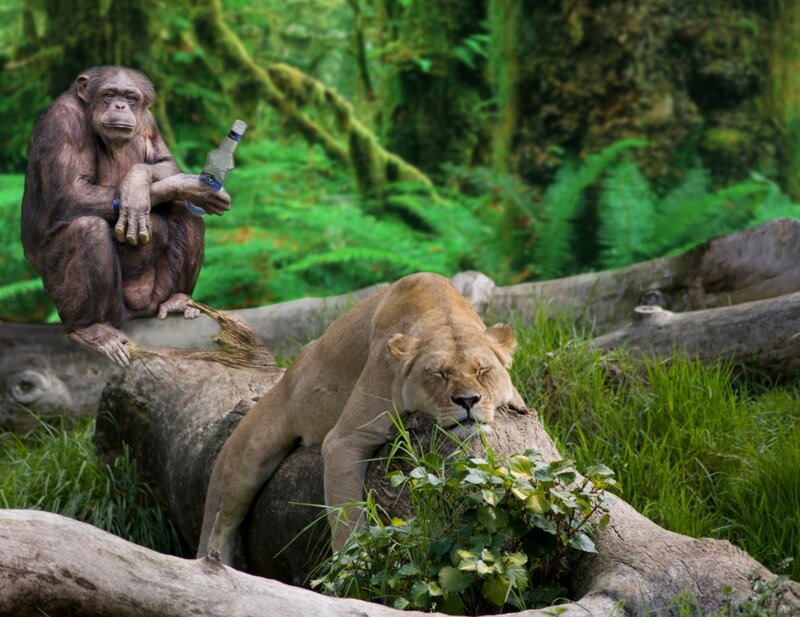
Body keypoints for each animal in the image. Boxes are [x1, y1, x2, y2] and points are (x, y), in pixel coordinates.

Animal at [21, 66, 232, 367]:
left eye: (130, 98)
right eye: (109, 94)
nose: (120, 106)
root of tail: (136, 312)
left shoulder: (149, 120)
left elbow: (165, 163)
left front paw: (140, 183)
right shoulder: (62, 122)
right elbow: (72, 192)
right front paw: (170, 188)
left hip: (154, 297)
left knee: (184, 210)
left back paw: (178, 299)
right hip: (91, 304)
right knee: (88, 230)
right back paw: (91, 329)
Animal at [196, 272, 527, 564]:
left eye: (482, 370)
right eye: (438, 373)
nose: (467, 400)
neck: (442, 313)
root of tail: (285, 378)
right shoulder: (345, 439)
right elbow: (346, 511)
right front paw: (352, 564)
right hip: (251, 455)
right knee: (222, 520)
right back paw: (219, 562)